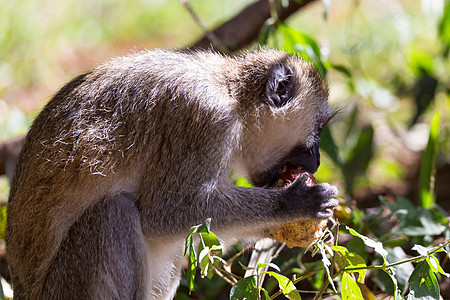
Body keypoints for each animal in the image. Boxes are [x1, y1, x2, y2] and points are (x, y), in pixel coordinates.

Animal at [6, 48, 338, 298]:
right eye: (320, 127)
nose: (317, 160)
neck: (233, 93)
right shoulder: (205, 118)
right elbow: (164, 213)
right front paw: (294, 203)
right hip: (65, 288)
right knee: (113, 214)